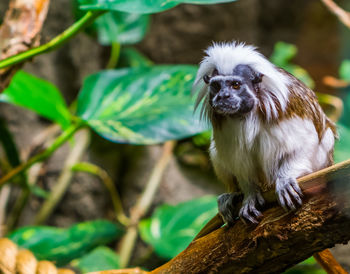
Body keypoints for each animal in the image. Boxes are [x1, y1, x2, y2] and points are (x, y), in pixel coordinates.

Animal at [193, 40, 338, 225]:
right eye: (217, 86)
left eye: (235, 85)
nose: (223, 96)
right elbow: (238, 158)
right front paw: (249, 194)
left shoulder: (283, 108)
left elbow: (305, 141)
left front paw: (285, 179)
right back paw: (233, 195)